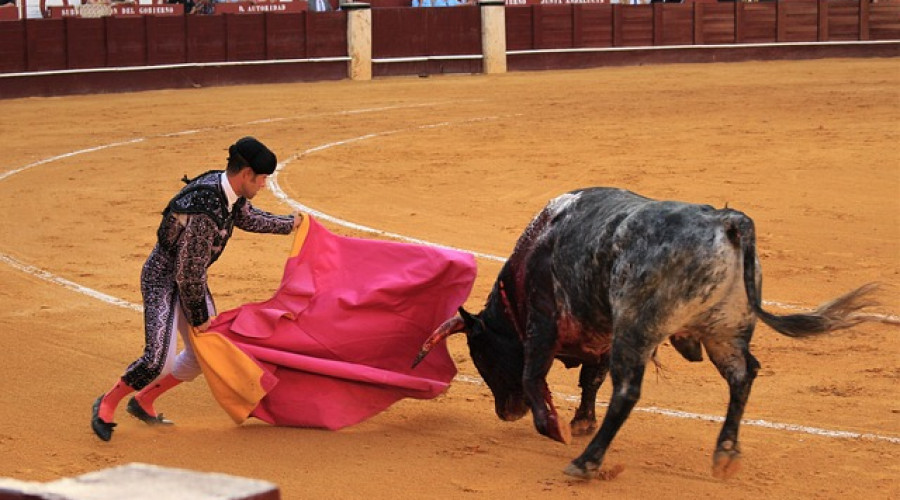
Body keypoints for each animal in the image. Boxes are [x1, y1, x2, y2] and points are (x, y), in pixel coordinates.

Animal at [414, 188, 880, 480]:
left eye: (482, 356)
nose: (506, 413)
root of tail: (728, 220)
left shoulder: (544, 321)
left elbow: (535, 375)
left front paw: (554, 427)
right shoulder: (600, 335)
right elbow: (589, 380)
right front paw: (581, 421)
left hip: (637, 329)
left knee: (627, 391)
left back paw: (586, 463)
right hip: (725, 330)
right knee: (743, 376)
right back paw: (725, 455)